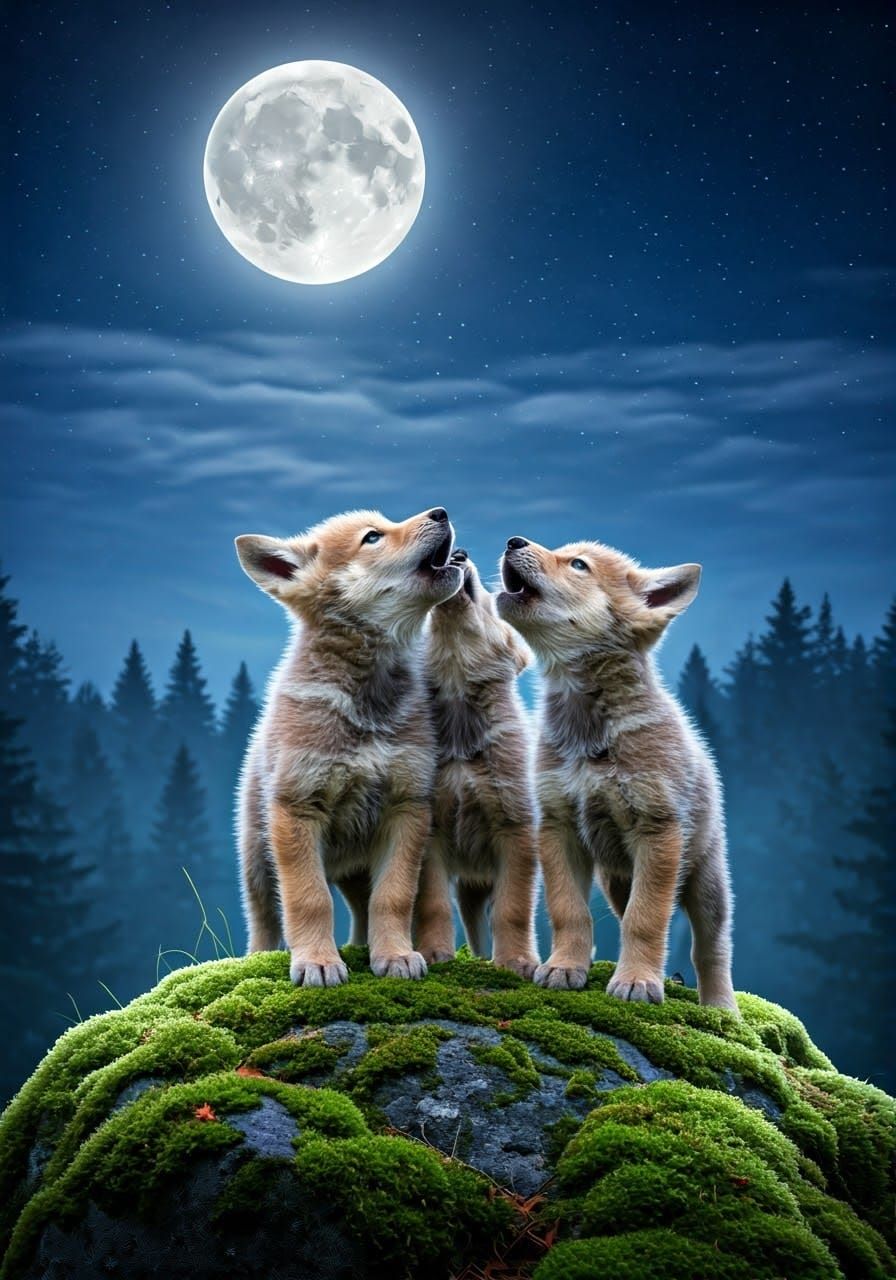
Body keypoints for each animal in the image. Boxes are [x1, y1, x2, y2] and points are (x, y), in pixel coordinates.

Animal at [234, 507, 462, 988]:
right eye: (373, 537)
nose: (441, 512)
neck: (366, 702)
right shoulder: (298, 809)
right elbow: (309, 899)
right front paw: (317, 962)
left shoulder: (407, 808)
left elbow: (393, 897)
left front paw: (395, 956)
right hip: (257, 856)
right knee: (263, 917)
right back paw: (257, 958)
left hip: (356, 866)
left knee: (361, 907)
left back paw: (362, 948)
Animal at [414, 550, 540, 977]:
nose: (459, 553)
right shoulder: (431, 832)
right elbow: (434, 903)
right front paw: (435, 953)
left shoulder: (516, 830)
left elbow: (513, 909)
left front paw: (516, 962)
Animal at [495, 534, 737, 1012]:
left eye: (578, 565)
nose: (513, 540)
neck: (589, 733)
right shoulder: (558, 828)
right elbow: (569, 911)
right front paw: (565, 968)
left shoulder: (658, 832)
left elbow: (647, 920)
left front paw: (637, 983)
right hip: (616, 880)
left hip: (707, 882)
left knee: (711, 947)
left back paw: (722, 1007)